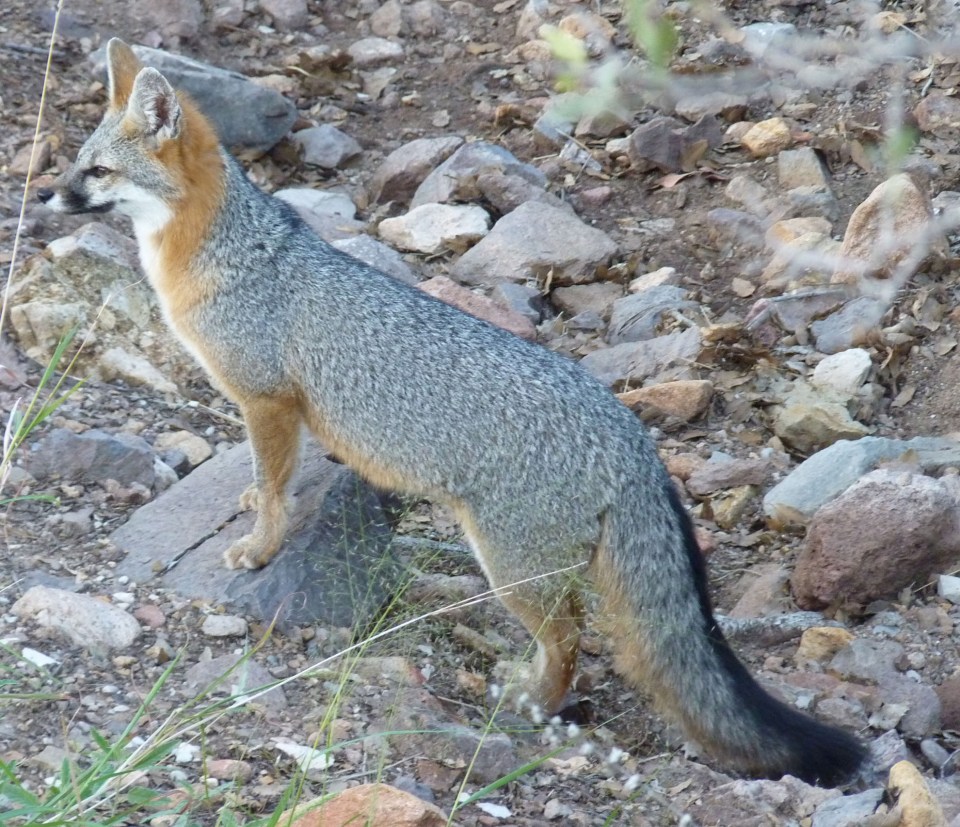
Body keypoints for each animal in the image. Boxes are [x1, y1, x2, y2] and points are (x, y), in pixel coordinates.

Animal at [37, 39, 867, 786]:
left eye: (97, 172)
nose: (47, 198)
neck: (216, 252)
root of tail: (633, 438)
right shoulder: (272, 409)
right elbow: (269, 477)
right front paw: (246, 503)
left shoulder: (269, 399)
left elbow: (277, 487)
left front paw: (259, 546)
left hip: (507, 566)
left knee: (572, 638)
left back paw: (534, 699)